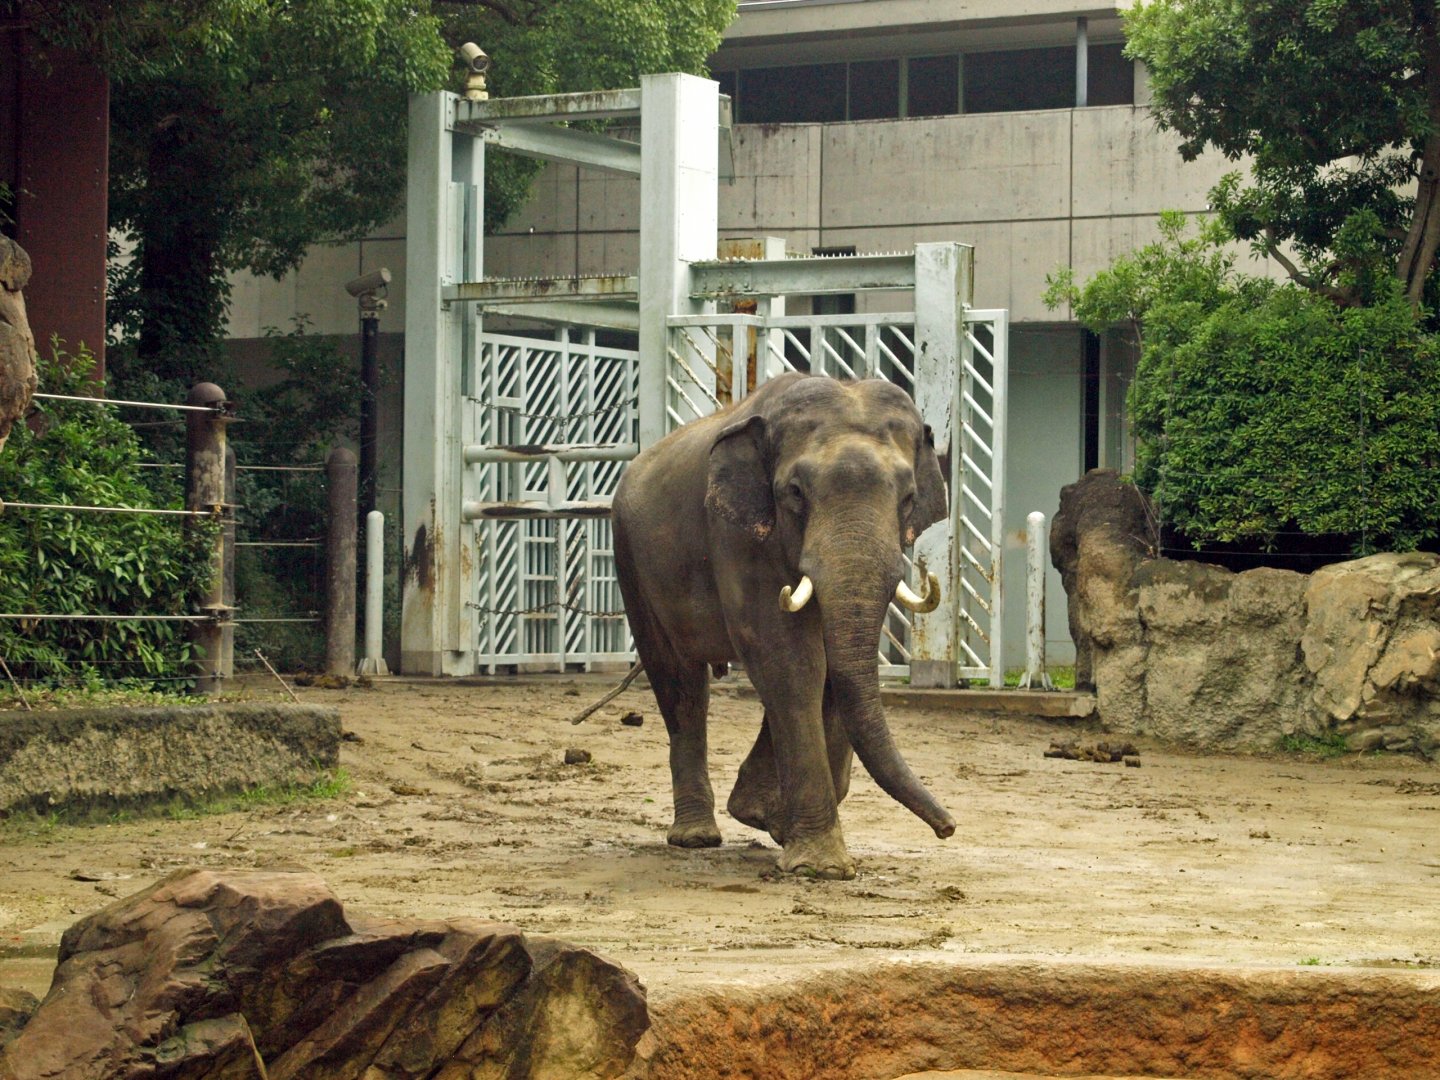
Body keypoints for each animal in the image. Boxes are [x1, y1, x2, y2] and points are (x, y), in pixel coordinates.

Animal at [612, 372, 954, 879]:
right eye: (794, 492)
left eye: (909, 498)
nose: (948, 828)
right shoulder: (736, 532)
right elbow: (790, 660)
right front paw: (821, 867)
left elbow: (832, 664)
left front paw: (770, 822)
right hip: (631, 560)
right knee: (679, 683)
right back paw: (696, 838)